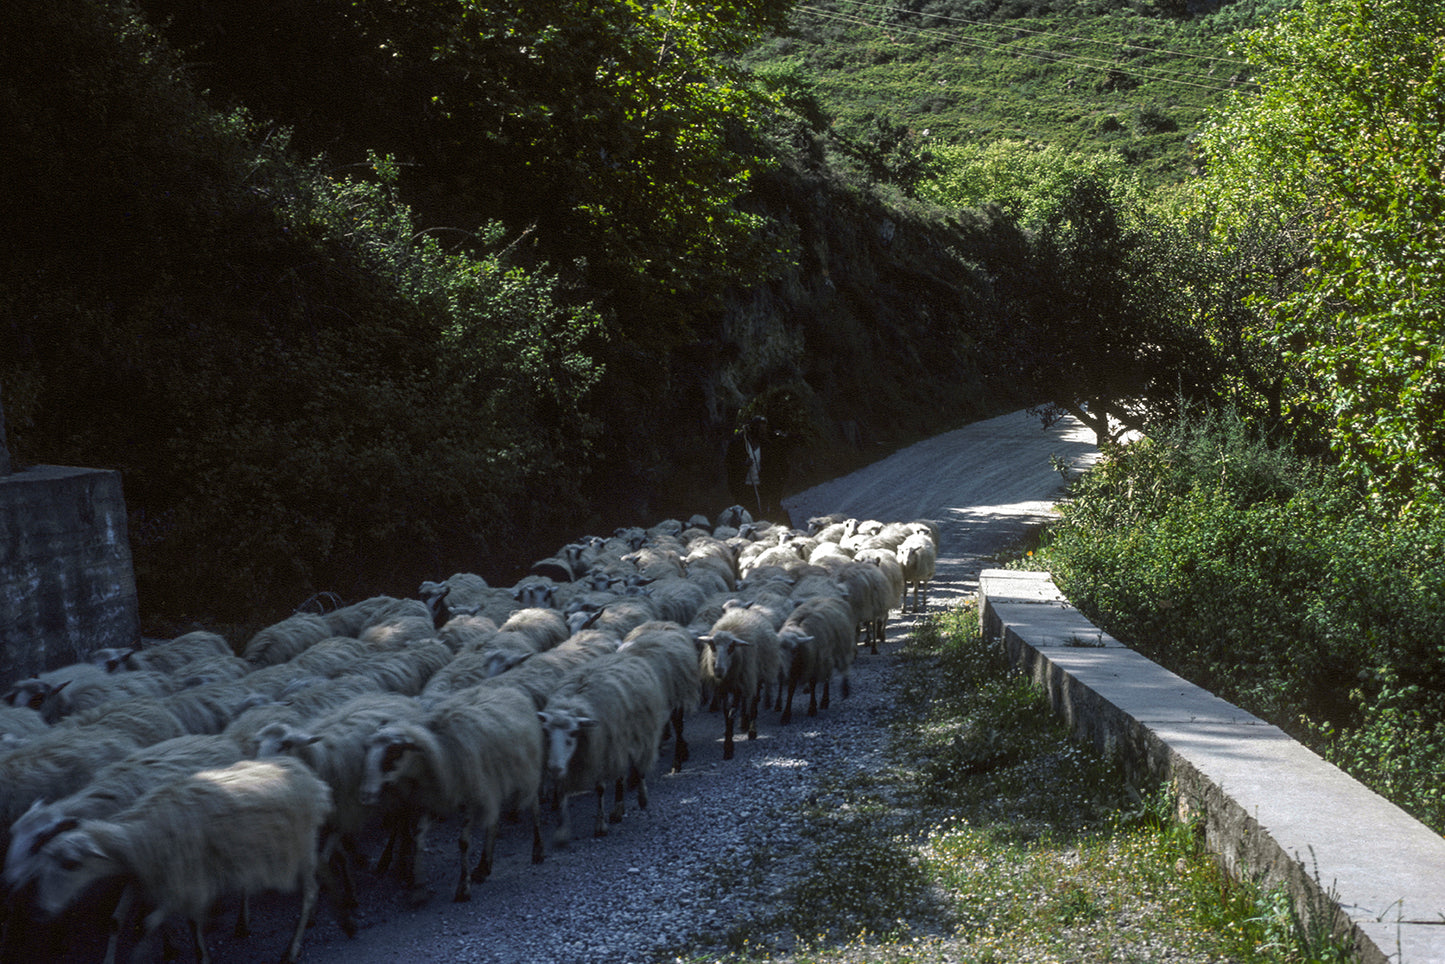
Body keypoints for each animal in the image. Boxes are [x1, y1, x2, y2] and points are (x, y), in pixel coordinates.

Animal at [31, 757, 330, 964]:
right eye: (44, 863)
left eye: (70, 864)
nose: (42, 910)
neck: (136, 838)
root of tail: (307, 774)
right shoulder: (144, 877)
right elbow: (119, 921)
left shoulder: (186, 880)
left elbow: (165, 922)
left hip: (303, 848)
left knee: (310, 893)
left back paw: (292, 948)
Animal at [358, 685, 543, 907]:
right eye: (367, 750)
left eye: (393, 753)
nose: (366, 794)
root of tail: (511, 691)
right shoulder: (430, 800)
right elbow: (418, 839)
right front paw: (418, 889)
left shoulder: (470, 798)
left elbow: (463, 843)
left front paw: (463, 888)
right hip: (492, 781)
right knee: (493, 822)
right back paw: (483, 867)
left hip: (526, 770)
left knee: (534, 805)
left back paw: (538, 851)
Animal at [540, 653, 667, 849]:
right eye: (546, 732)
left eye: (574, 733)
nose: (554, 767)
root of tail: (625, 655)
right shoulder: (571, 764)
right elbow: (561, 792)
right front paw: (562, 832)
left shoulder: (601, 753)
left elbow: (600, 789)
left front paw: (600, 825)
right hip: (620, 743)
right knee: (621, 773)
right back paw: (618, 809)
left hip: (640, 735)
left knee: (640, 766)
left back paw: (641, 798)